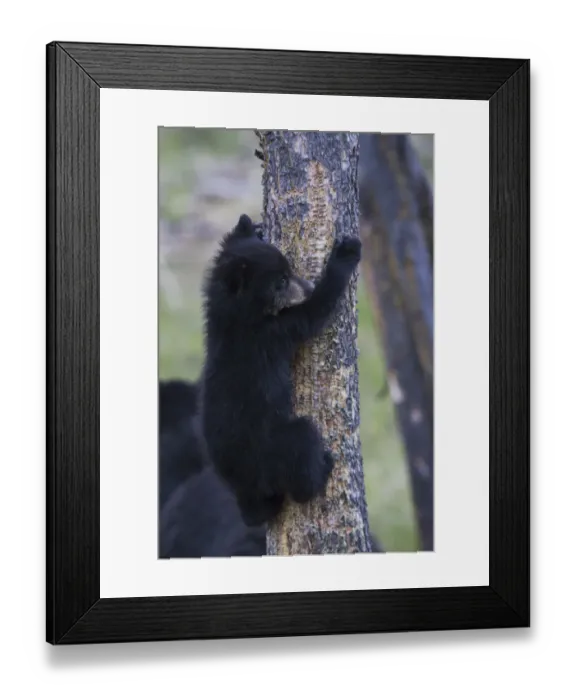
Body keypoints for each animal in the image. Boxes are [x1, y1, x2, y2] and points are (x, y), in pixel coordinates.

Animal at [197, 213, 362, 527]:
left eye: (288, 271)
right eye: (282, 281)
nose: (307, 286)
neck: (236, 314)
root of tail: (244, 485)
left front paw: (253, 228)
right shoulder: (274, 332)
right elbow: (315, 312)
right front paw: (345, 254)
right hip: (274, 446)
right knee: (302, 442)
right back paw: (321, 471)